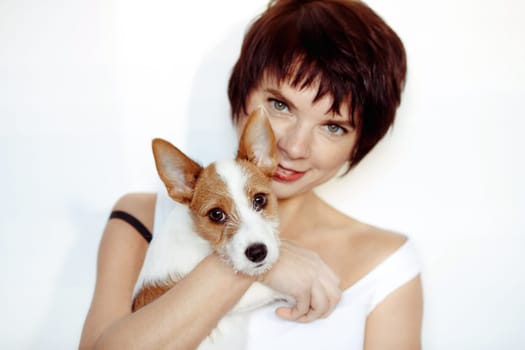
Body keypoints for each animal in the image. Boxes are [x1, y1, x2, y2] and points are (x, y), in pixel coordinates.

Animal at [130, 108, 286, 348]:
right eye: (216, 214)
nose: (258, 252)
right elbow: (267, 289)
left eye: (259, 200)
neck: (196, 235)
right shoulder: (228, 300)